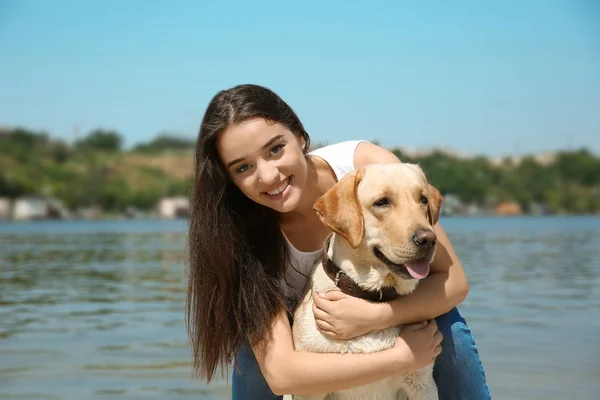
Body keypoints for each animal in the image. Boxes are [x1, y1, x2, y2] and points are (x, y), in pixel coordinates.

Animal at [292, 162, 442, 400]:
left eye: (423, 199)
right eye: (382, 202)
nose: (428, 239)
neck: (369, 297)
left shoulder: (422, 384)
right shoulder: (309, 391)